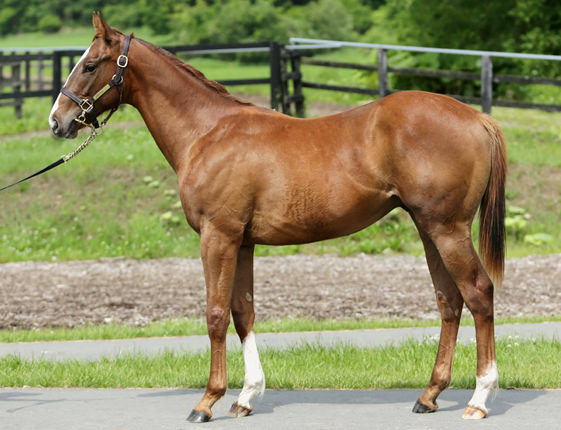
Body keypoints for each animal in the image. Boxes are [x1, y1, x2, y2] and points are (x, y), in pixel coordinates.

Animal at [48, 12, 506, 424]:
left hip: (447, 230)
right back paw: (429, 395)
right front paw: (246, 397)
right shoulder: (243, 242)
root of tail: (478, 117)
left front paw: (207, 401)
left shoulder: (217, 236)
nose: (58, 121)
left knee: (478, 293)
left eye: (90, 65)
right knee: (449, 301)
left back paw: (479, 399)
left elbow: (215, 313)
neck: (208, 132)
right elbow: (242, 312)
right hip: (429, 229)